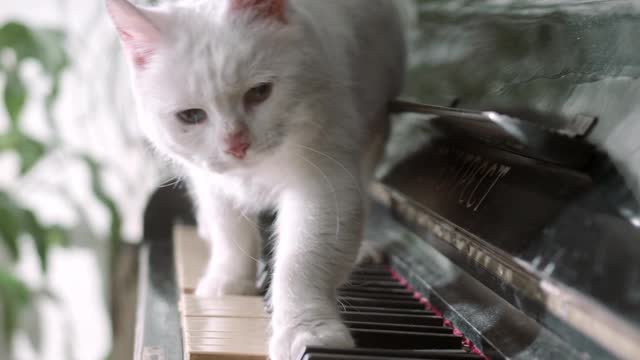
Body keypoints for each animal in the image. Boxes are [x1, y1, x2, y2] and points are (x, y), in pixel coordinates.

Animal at [105, 0, 404, 358]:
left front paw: (307, 333)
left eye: (260, 92)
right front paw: (228, 284)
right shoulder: (212, 183)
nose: (236, 145)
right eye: (190, 116)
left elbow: (302, 261)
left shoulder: (324, 184)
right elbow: (230, 234)